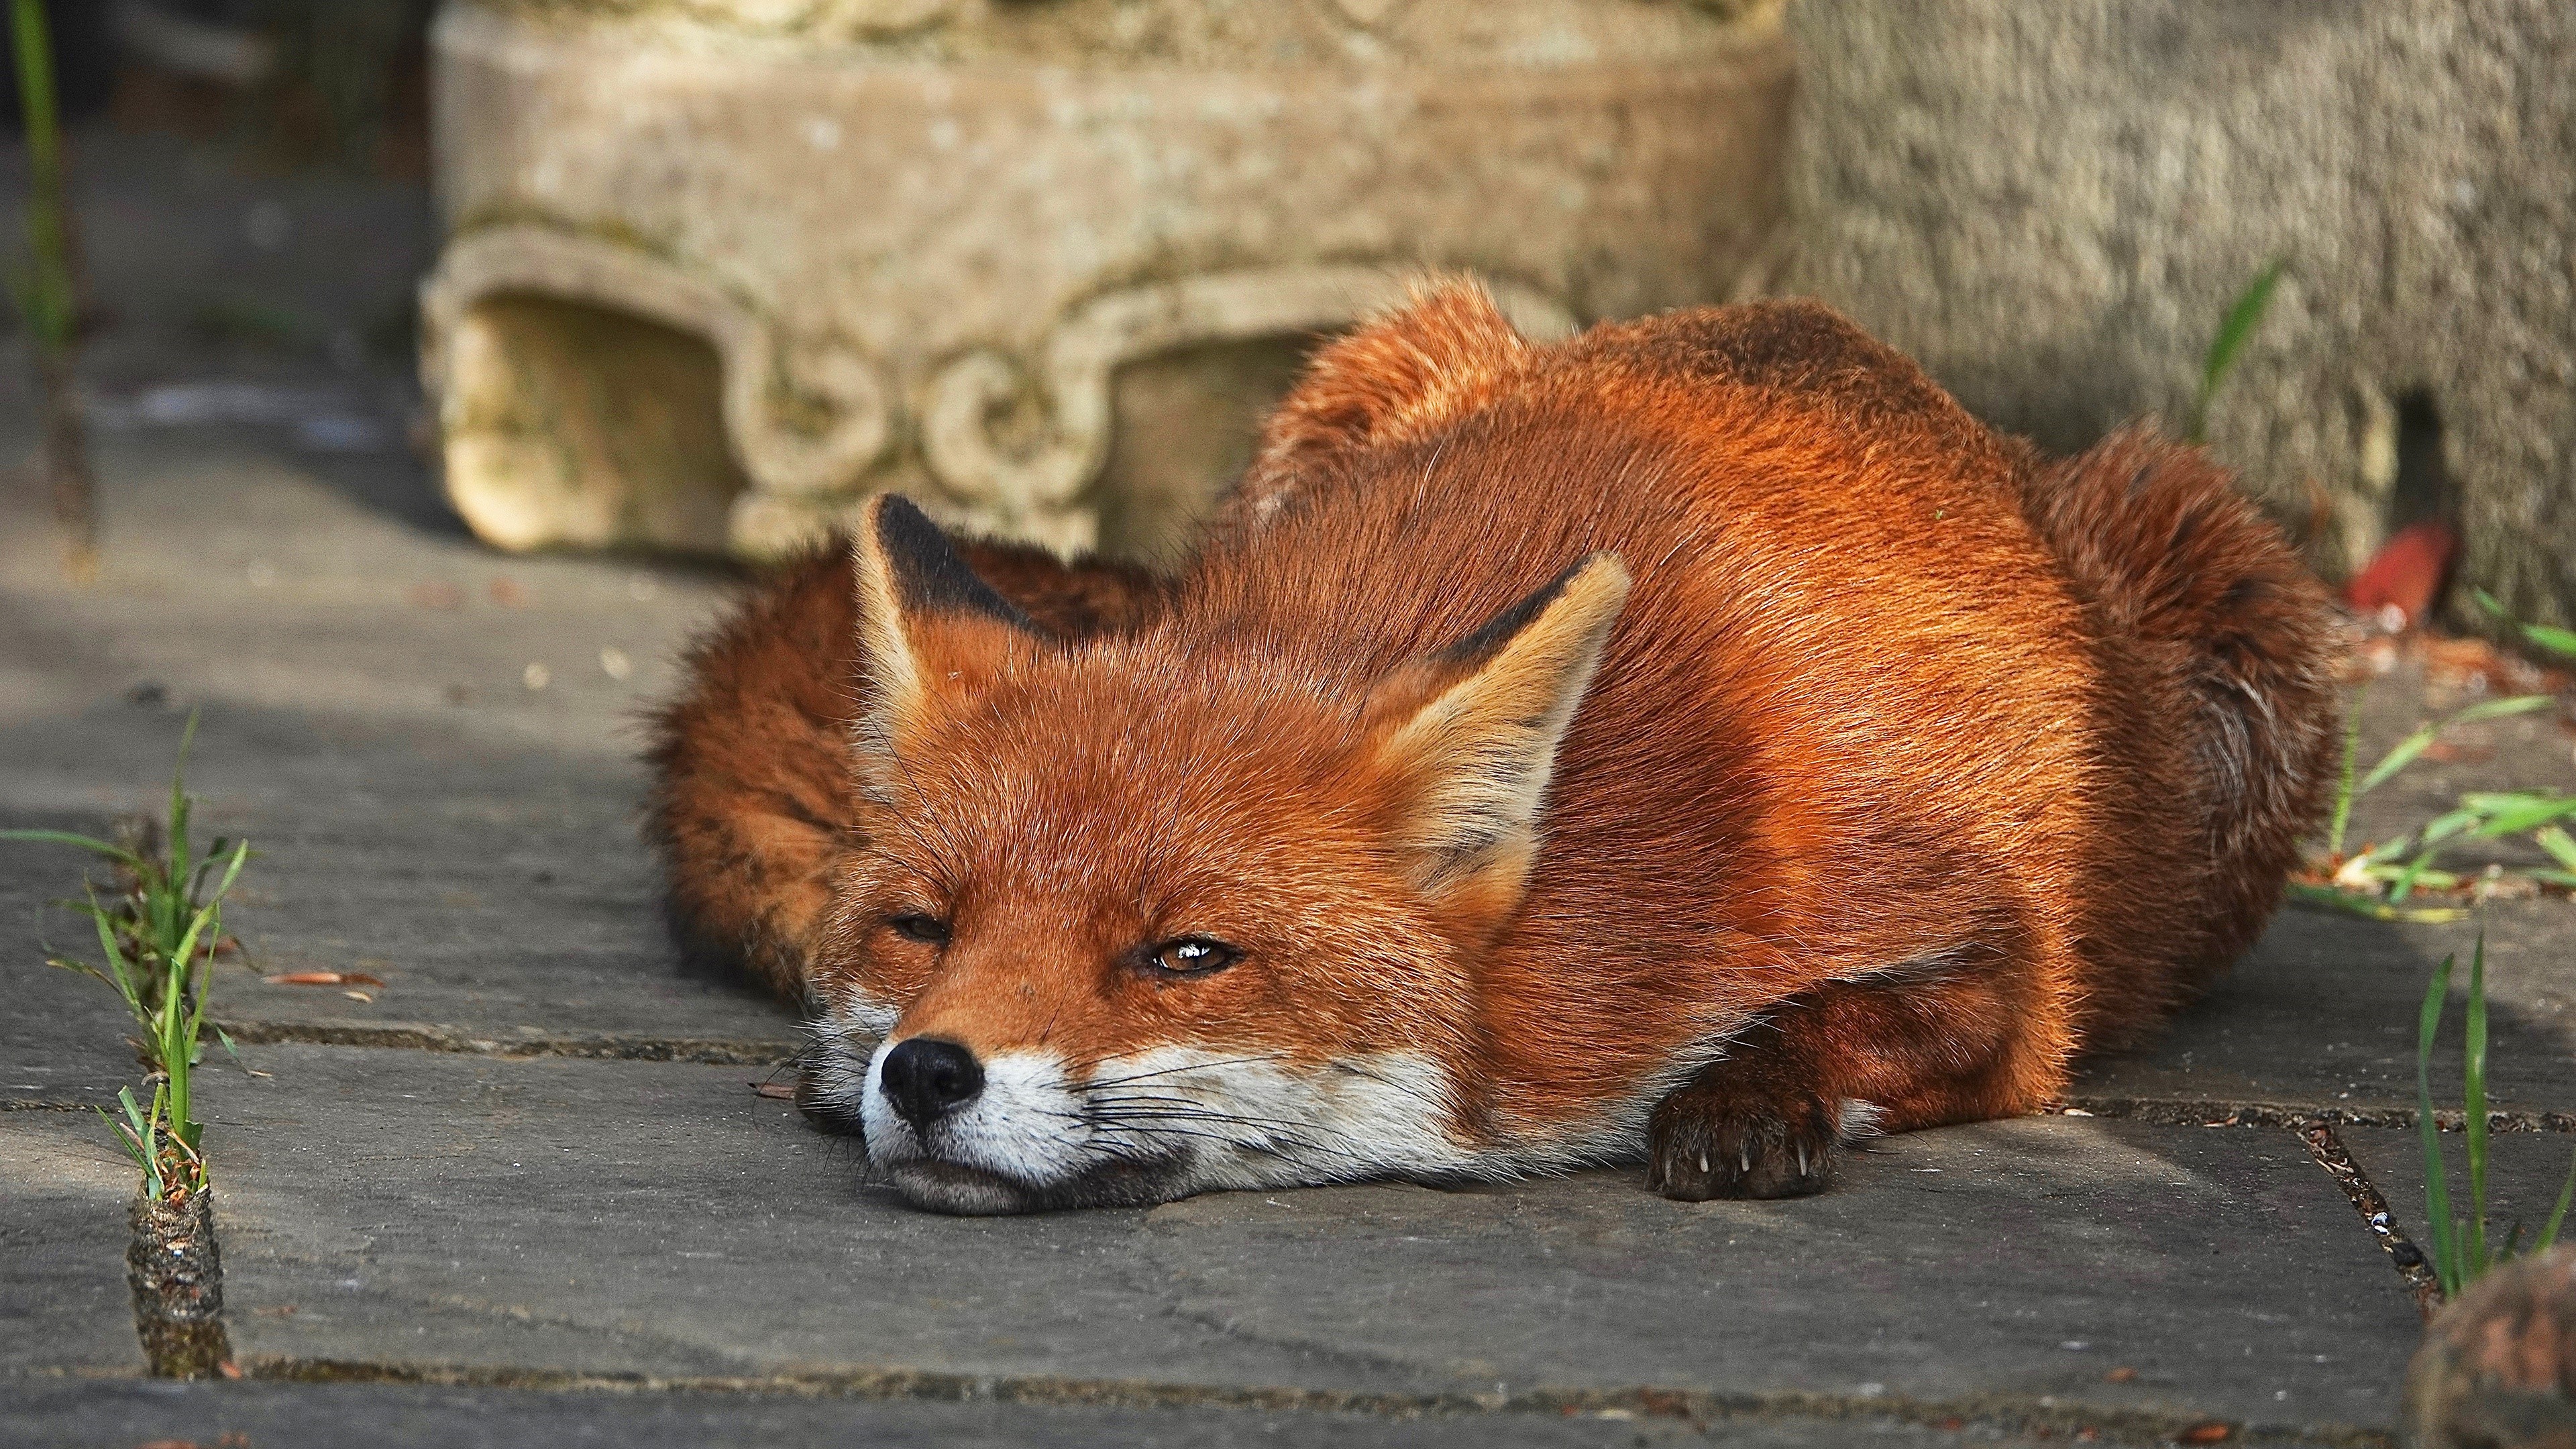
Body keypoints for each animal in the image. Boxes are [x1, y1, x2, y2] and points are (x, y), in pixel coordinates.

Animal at [649, 281, 2339, 1215]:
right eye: (922, 927)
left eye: (1186, 955)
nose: (927, 1070)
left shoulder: (2007, 956)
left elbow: (1861, 1018)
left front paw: (1750, 1092)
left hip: (2241, 619)